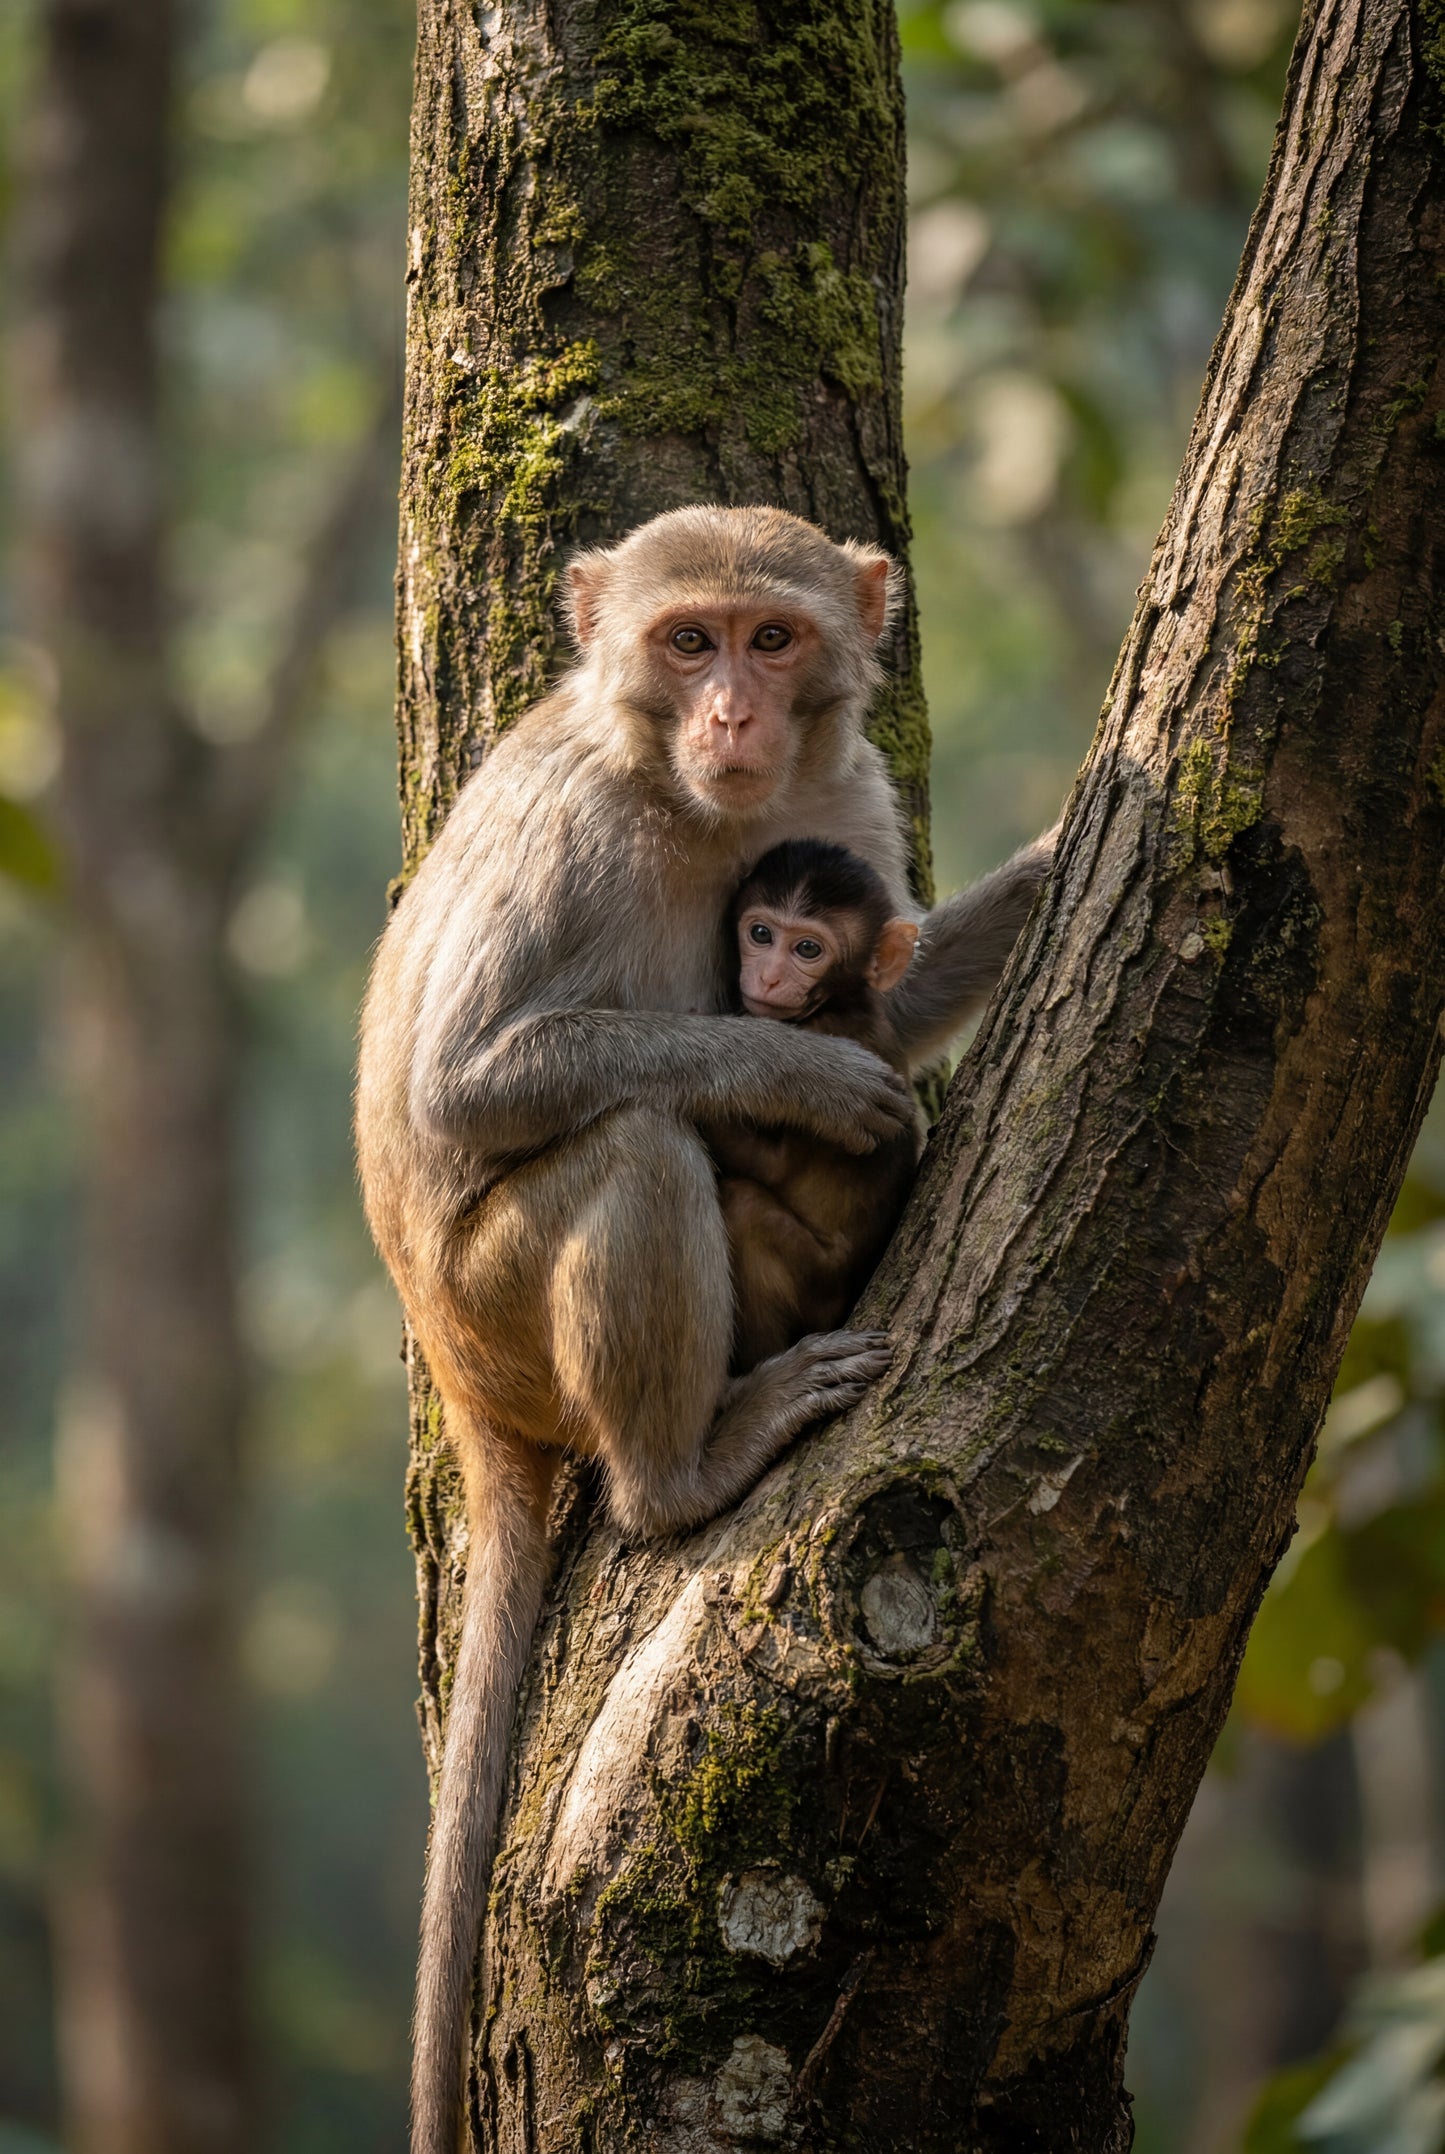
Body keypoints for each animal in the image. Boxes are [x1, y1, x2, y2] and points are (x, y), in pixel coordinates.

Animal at [703, 839, 927, 1372]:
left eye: (808, 949)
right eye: (760, 934)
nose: (767, 977)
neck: (838, 1002)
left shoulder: (829, 1035)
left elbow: (774, 1164)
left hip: (820, 1289)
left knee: (745, 1207)